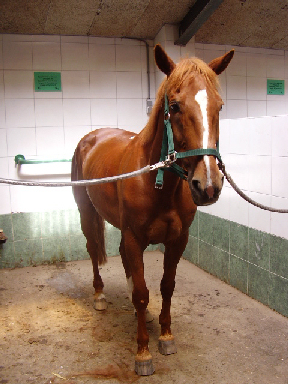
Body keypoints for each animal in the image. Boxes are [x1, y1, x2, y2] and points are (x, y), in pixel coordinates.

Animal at [71, 45, 234, 376]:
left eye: (220, 106)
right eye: (175, 105)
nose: (208, 186)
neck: (158, 182)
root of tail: (91, 137)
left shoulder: (177, 240)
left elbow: (165, 287)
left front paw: (166, 336)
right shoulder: (136, 238)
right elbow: (143, 293)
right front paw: (143, 353)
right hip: (87, 213)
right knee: (94, 250)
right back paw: (99, 296)